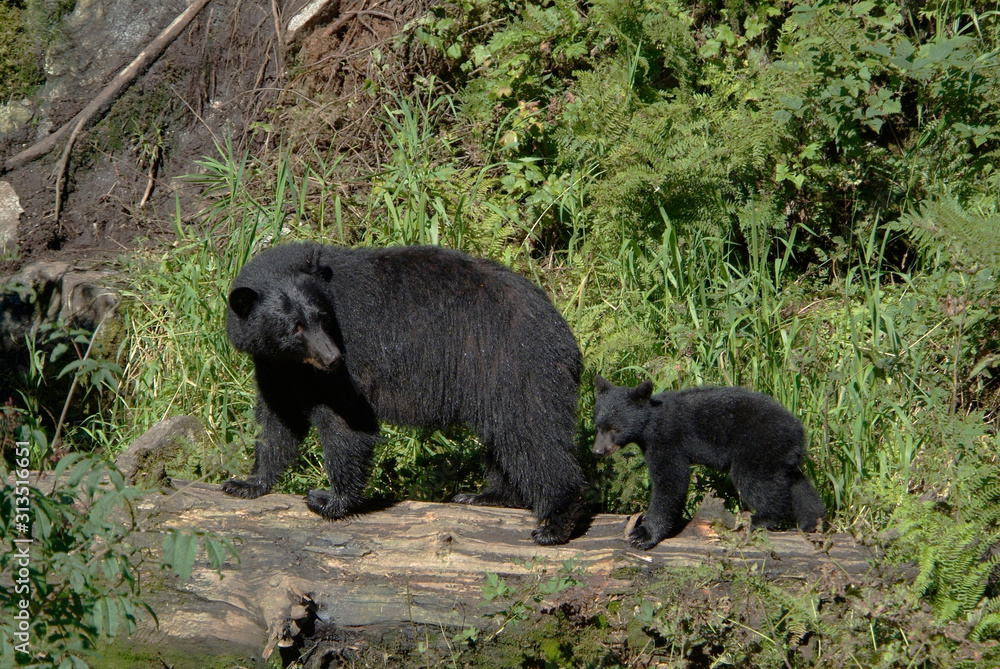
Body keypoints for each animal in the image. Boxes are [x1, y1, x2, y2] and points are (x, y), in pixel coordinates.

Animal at [220, 240, 584, 544]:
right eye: (294, 327)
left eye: (321, 317)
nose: (332, 357)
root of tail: (564, 334)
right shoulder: (275, 365)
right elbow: (278, 419)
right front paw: (247, 482)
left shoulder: (349, 359)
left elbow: (345, 420)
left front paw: (328, 499)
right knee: (506, 438)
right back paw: (487, 495)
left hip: (511, 366)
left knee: (532, 437)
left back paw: (555, 523)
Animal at [592, 376, 820, 548]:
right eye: (598, 426)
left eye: (615, 428)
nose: (597, 451)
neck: (649, 425)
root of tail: (798, 433)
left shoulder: (667, 440)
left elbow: (671, 481)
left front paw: (644, 534)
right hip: (781, 457)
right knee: (798, 484)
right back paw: (811, 521)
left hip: (758, 446)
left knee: (756, 481)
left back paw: (761, 518)